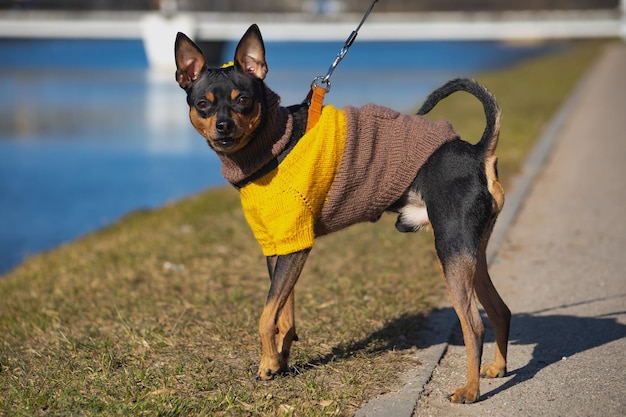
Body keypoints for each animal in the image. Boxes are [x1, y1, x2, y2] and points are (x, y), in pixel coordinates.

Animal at [173, 23, 510, 404]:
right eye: (203, 104)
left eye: (243, 99)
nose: (224, 125)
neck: (272, 143)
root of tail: (478, 153)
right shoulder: (281, 249)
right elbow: (283, 313)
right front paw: (280, 360)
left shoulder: (297, 247)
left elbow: (265, 316)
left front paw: (267, 364)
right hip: (471, 253)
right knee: (500, 309)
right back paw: (497, 368)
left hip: (451, 251)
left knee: (474, 325)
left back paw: (470, 390)